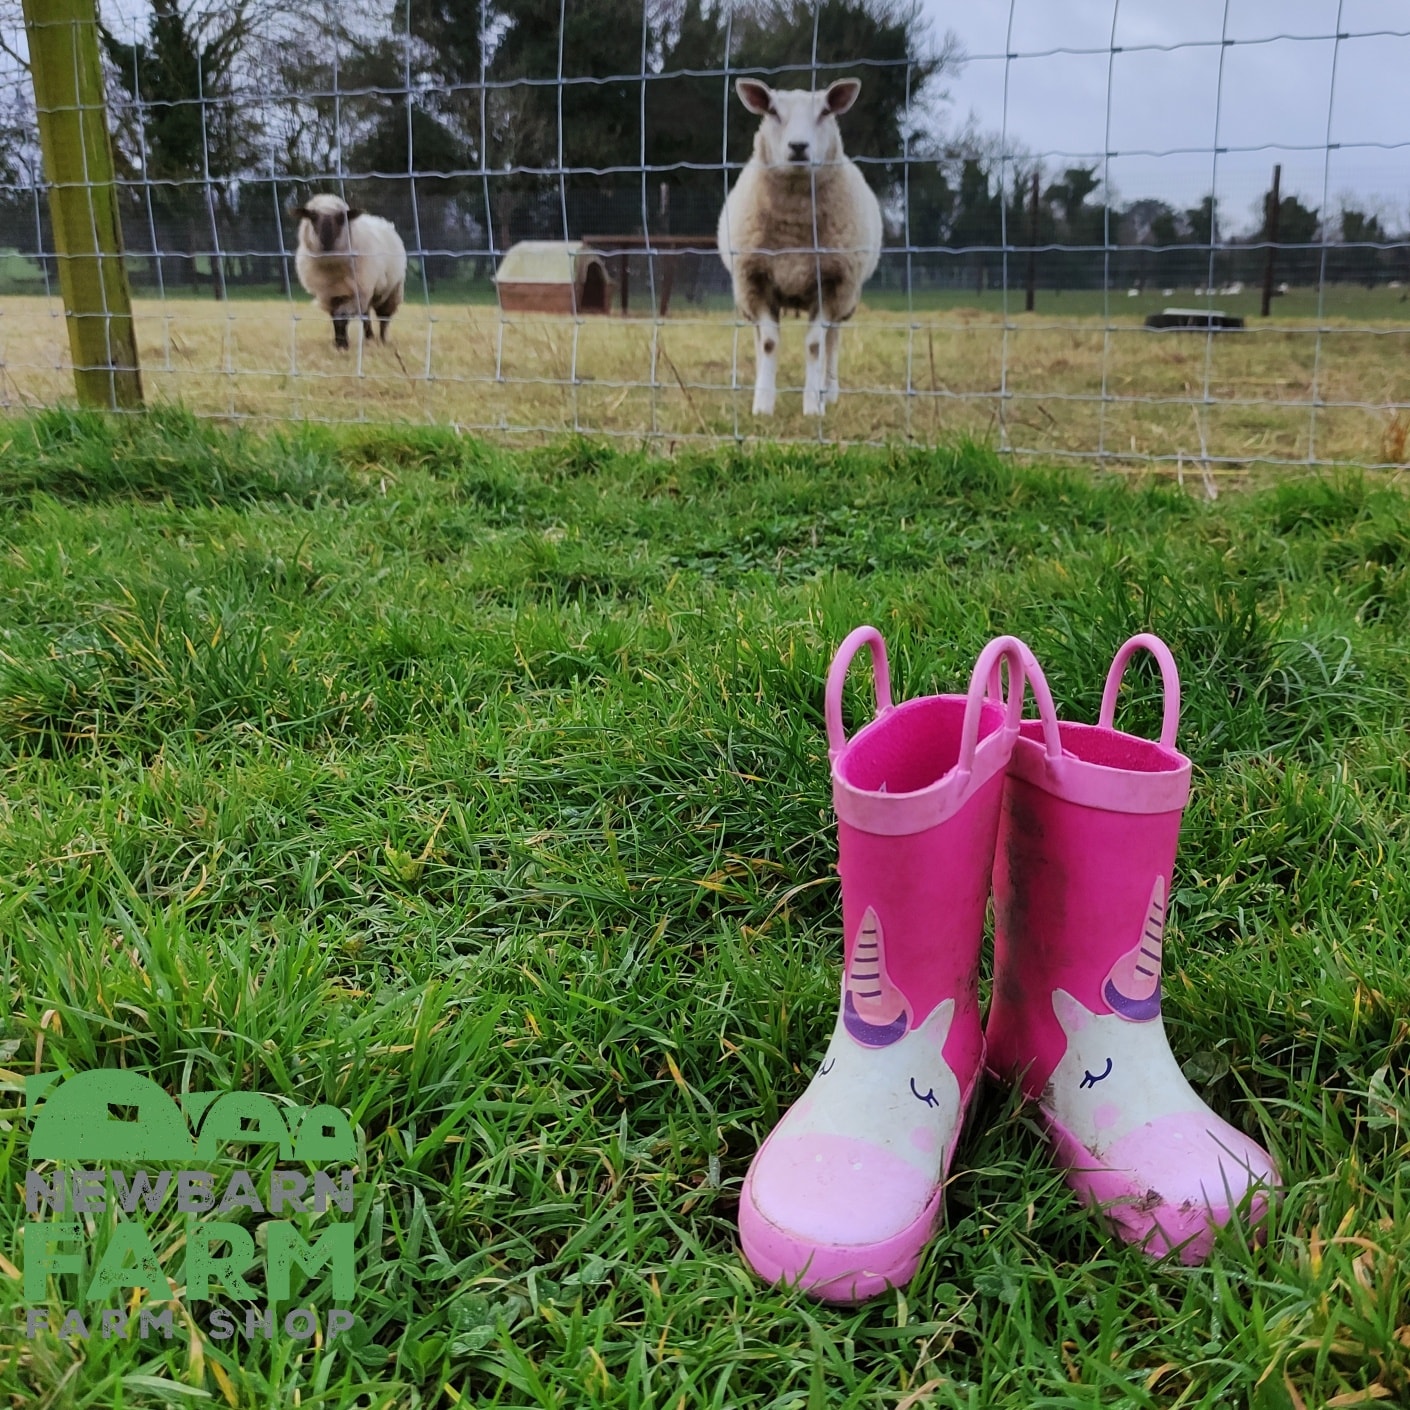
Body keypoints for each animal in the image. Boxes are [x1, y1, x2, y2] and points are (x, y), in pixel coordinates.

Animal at [293, 194, 408, 351]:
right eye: (313, 216)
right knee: (366, 316)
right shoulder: (329, 295)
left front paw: (342, 345)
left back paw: (382, 341)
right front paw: (339, 344)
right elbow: (336, 318)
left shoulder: (357, 294)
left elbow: (341, 317)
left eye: (342, 218)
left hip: (390, 290)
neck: (332, 266)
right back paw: (369, 338)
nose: (326, 241)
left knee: (383, 317)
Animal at [716, 77, 879, 414]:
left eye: (825, 112)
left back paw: (829, 391)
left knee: (832, 341)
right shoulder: (755, 281)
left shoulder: (831, 284)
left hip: (847, 297)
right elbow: (768, 343)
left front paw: (813, 406)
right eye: (773, 112)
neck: (794, 231)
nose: (799, 146)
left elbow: (815, 345)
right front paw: (763, 405)